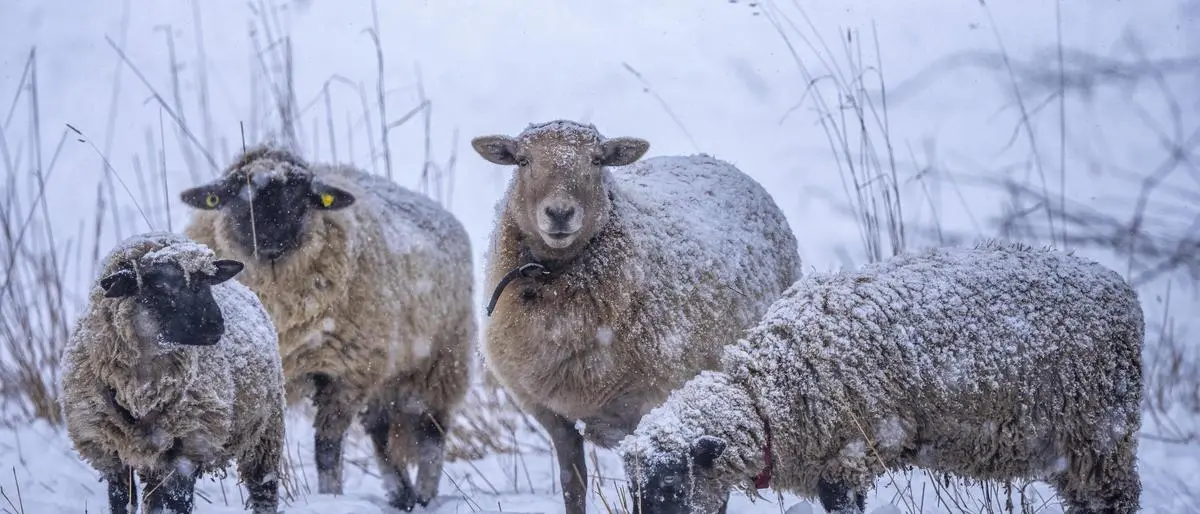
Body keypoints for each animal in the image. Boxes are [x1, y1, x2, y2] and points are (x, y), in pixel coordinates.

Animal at [59, 231, 284, 514]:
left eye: (207, 281)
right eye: (159, 286)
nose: (215, 324)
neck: (141, 389)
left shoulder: (188, 446)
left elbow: (179, 502)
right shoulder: (108, 451)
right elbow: (122, 501)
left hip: (265, 431)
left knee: (263, 487)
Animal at [179, 144, 475, 511]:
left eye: (300, 194)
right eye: (236, 195)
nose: (270, 239)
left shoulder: (344, 373)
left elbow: (327, 448)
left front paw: (330, 496)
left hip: (439, 362)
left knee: (430, 430)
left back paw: (423, 495)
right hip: (386, 372)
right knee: (381, 430)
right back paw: (401, 493)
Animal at [470, 120, 803, 514]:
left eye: (597, 160)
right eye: (522, 160)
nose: (560, 213)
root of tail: (718, 161)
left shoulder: (647, 409)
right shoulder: (552, 417)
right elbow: (573, 486)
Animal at [619, 241, 1145, 514]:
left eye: (669, 489)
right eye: (636, 491)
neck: (768, 396)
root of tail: (1123, 293)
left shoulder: (849, 456)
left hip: (1100, 438)